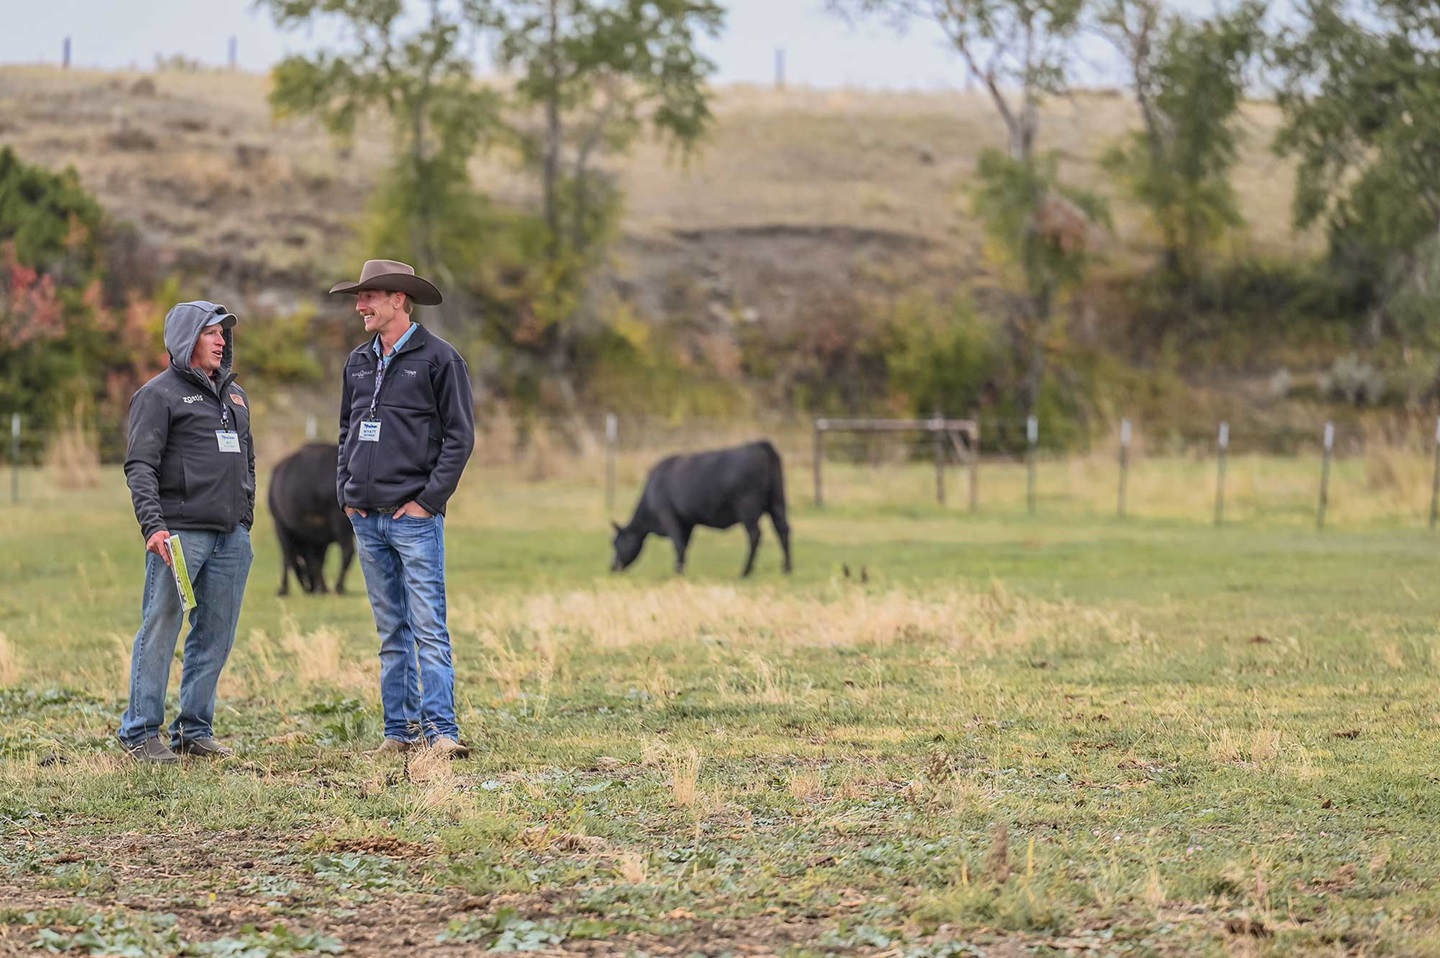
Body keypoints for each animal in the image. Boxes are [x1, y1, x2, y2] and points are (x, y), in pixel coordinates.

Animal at [270, 443, 358, 593]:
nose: (309, 588)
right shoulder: (317, 539)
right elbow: (318, 561)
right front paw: (322, 587)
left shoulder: (281, 526)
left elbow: (289, 557)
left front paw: (283, 589)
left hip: (340, 522)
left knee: (348, 551)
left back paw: (338, 586)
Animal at [604, 437, 789, 576]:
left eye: (615, 542)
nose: (612, 567)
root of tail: (759, 444)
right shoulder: (688, 522)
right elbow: (684, 545)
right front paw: (681, 568)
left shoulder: (668, 516)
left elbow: (678, 543)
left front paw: (678, 571)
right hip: (777, 503)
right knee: (783, 529)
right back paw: (787, 568)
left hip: (748, 508)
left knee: (755, 535)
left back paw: (746, 571)